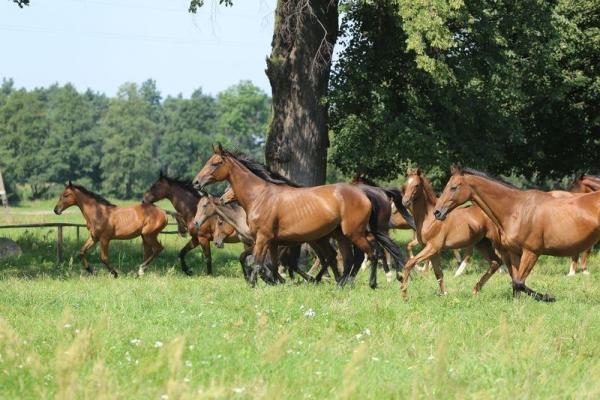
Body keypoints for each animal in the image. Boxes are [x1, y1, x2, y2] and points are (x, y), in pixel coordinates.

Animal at [195, 146, 406, 288]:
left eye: (215, 163)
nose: (196, 182)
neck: (260, 196)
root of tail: (364, 193)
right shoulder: (273, 242)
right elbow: (270, 265)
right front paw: (276, 283)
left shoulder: (263, 239)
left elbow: (257, 263)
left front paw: (255, 285)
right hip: (340, 235)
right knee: (347, 259)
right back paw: (340, 284)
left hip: (353, 233)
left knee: (371, 254)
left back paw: (370, 283)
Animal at [400, 167, 504, 298]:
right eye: (405, 185)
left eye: (416, 185)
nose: (405, 202)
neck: (430, 219)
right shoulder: (433, 252)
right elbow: (438, 274)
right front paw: (444, 294)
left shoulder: (432, 247)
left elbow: (410, 263)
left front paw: (404, 295)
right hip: (482, 244)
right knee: (495, 262)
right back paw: (475, 290)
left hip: (496, 243)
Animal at [434, 167, 600, 302]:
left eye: (454, 187)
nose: (437, 212)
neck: (517, 210)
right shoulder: (514, 252)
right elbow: (516, 283)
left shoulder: (531, 252)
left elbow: (519, 282)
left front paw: (549, 297)